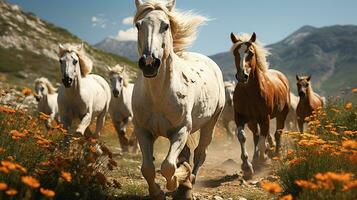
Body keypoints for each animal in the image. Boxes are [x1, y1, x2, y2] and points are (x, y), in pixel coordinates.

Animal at [132, 0, 224, 199]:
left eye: (165, 26)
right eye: (138, 25)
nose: (149, 63)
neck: (158, 96)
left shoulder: (180, 130)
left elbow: (168, 166)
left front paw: (177, 180)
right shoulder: (143, 130)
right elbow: (147, 168)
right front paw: (157, 192)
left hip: (210, 123)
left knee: (200, 153)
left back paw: (188, 184)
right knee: (188, 153)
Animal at [229, 32, 290, 179]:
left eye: (250, 53)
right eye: (235, 53)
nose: (242, 76)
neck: (250, 92)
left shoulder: (264, 118)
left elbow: (263, 139)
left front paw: (265, 157)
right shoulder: (240, 117)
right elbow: (242, 137)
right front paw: (247, 166)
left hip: (282, 114)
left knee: (277, 132)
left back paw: (275, 154)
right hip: (252, 121)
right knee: (256, 136)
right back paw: (256, 158)